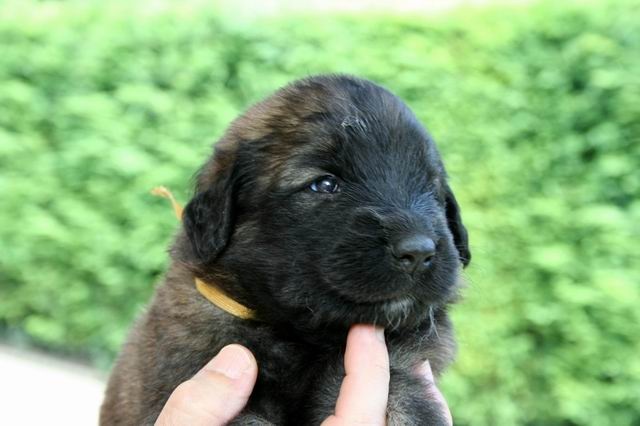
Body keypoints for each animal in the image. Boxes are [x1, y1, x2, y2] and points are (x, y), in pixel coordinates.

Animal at [100, 74, 470, 425]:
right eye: (324, 184)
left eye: (432, 190)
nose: (418, 252)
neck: (303, 337)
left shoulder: (401, 367)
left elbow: (409, 404)